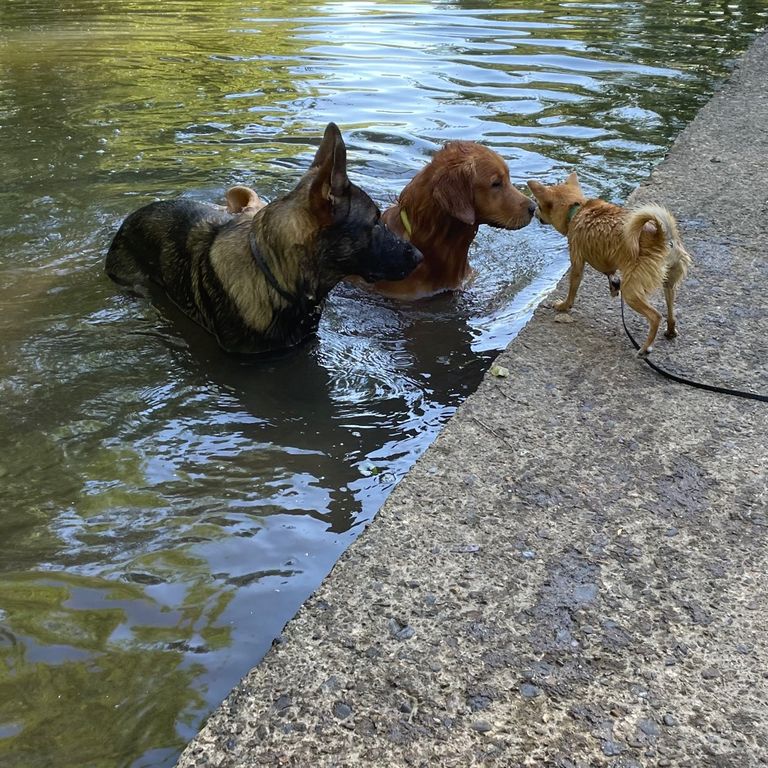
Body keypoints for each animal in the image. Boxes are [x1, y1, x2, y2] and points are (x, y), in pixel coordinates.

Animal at [524, 172, 692, 356]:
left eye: (539, 206)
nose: (534, 212)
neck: (577, 209)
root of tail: (661, 237)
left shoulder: (577, 261)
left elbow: (573, 287)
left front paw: (564, 306)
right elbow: (610, 273)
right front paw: (613, 285)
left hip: (631, 292)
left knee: (655, 316)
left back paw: (645, 348)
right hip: (669, 283)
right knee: (670, 313)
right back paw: (670, 331)